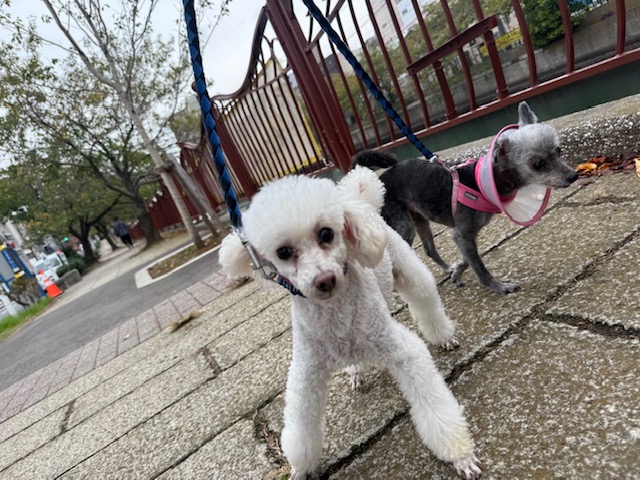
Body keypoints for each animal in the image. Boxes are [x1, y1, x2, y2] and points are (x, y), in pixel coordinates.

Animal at [356, 102, 580, 292]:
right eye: (538, 164)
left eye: (558, 150)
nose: (573, 175)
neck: (481, 183)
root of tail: (376, 179)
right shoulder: (462, 233)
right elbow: (480, 268)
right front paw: (499, 287)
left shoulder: (466, 235)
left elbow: (468, 258)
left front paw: (456, 271)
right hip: (402, 227)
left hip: (418, 218)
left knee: (429, 249)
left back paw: (445, 269)